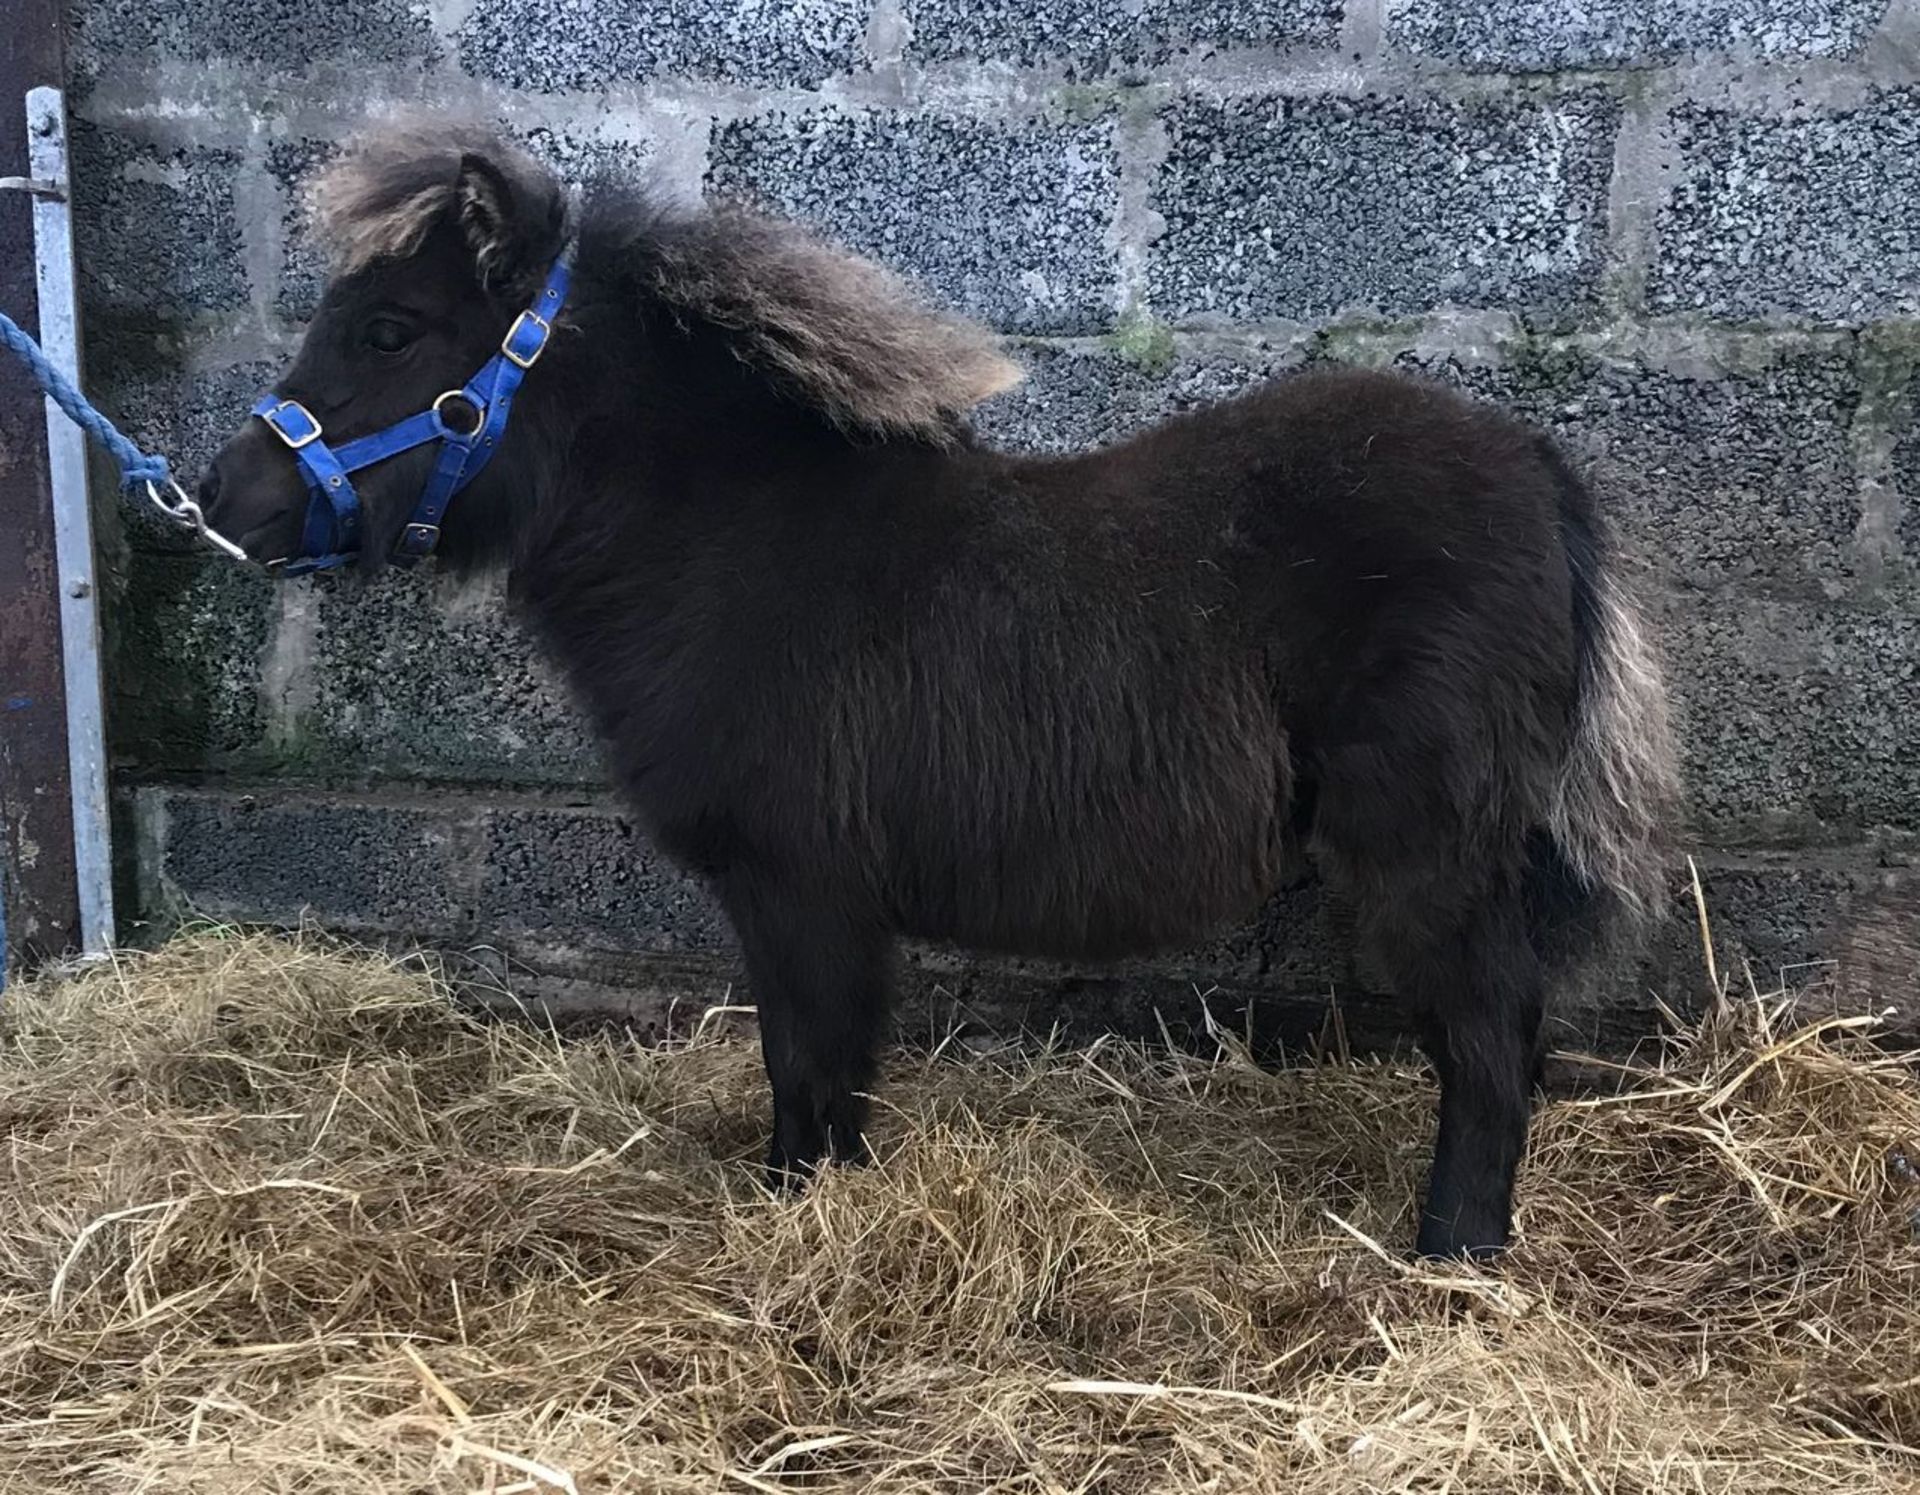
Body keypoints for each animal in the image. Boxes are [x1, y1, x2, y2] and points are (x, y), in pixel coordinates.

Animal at [198, 125, 1681, 1266]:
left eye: (390, 329)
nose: (220, 501)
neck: (727, 545)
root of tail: (1535, 466)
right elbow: (822, 1074)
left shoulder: (801, 888)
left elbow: (811, 1068)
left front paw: (801, 1222)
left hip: (1430, 851)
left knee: (1490, 1038)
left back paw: (1451, 1258)